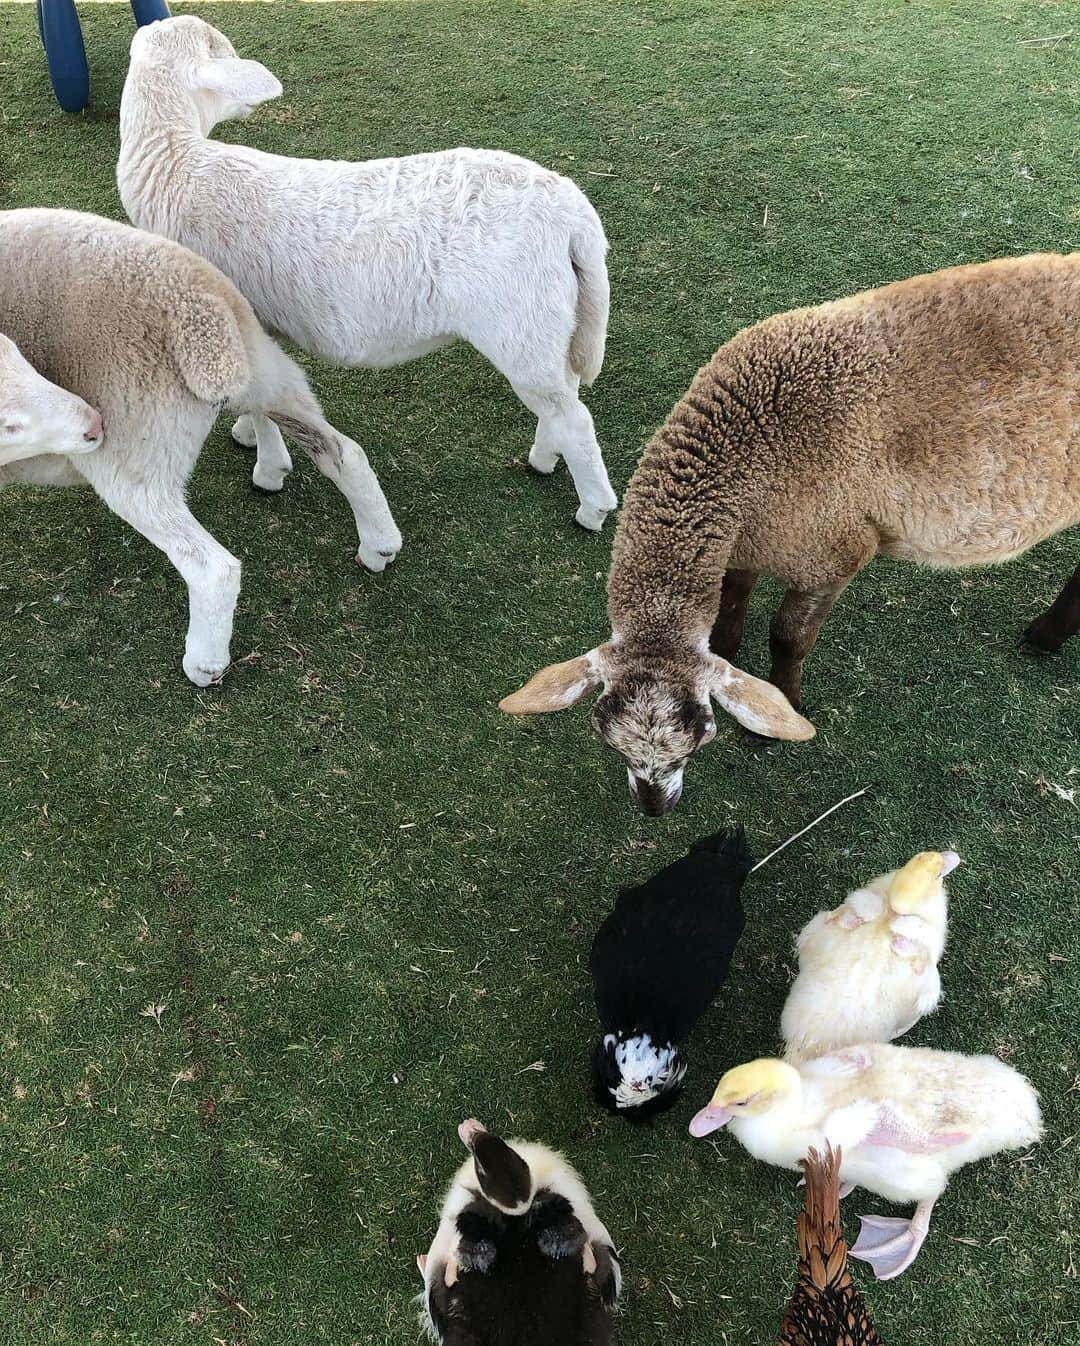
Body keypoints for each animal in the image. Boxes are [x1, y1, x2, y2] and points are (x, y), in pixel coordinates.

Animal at [0, 208, 401, 689]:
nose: (92, 423)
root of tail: (201, 315)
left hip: (139, 451)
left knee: (211, 567)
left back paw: (205, 663)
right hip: (269, 378)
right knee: (345, 454)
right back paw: (379, 545)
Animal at [115, 15, 614, 533]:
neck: (173, 165)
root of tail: (574, 216)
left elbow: (264, 406)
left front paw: (267, 467)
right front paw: (249, 433)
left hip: (520, 326)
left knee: (575, 418)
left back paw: (592, 508)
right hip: (549, 323)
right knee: (565, 396)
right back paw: (545, 456)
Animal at [506, 255, 1077, 812]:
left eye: (703, 737)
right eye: (608, 741)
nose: (654, 807)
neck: (751, 452)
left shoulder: (830, 554)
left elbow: (788, 637)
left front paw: (779, 715)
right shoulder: (747, 541)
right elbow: (731, 603)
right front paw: (733, 657)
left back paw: (1045, 635)